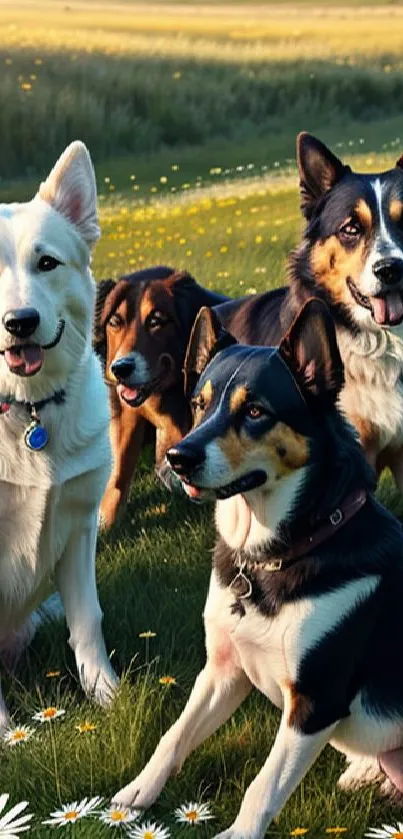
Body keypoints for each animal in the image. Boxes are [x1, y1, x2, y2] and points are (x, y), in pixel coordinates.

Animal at [114, 302, 403, 839]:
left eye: (255, 412)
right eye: (199, 404)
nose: (177, 458)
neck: (275, 554)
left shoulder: (314, 701)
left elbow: (264, 785)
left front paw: (238, 834)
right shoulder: (222, 670)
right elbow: (174, 735)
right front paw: (138, 793)